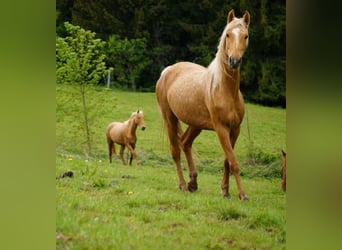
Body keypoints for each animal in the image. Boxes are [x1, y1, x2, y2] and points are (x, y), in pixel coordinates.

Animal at [156, 9, 250, 200]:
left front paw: (225, 190)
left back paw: (193, 182)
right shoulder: (221, 129)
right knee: (175, 151)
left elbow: (227, 160)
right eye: (228, 35)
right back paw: (183, 184)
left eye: (245, 36)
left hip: (195, 124)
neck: (226, 91)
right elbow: (233, 161)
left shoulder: (235, 130)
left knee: (185, 143)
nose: (234, 61)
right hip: (170, 120)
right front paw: (242, 194)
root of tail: (167, 71)